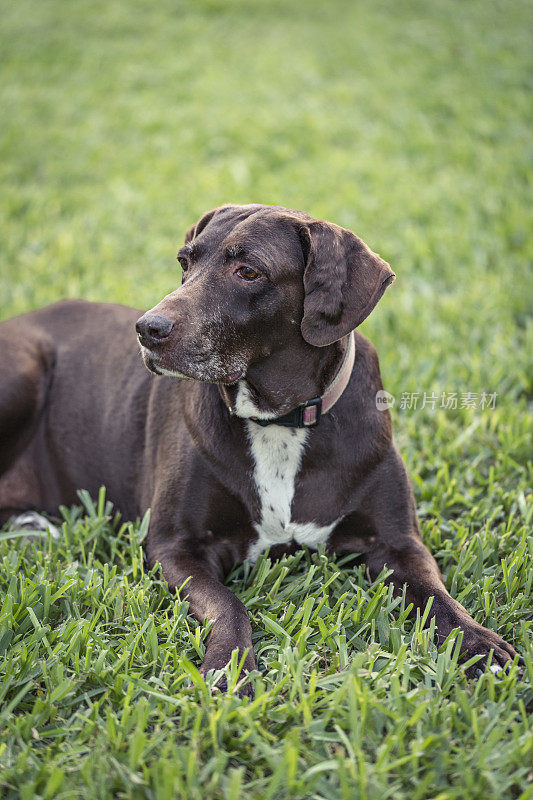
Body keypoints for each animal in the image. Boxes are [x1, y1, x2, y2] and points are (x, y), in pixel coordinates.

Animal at [0, 206, 516, 692]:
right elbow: (229, 604)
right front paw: (228, 669)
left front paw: (480, 643)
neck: (278, 419)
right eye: (185, 261)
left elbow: (437, 596)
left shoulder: (396, 545)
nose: (147, 329)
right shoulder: (175, 547)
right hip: (23, 369)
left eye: (248, 271)